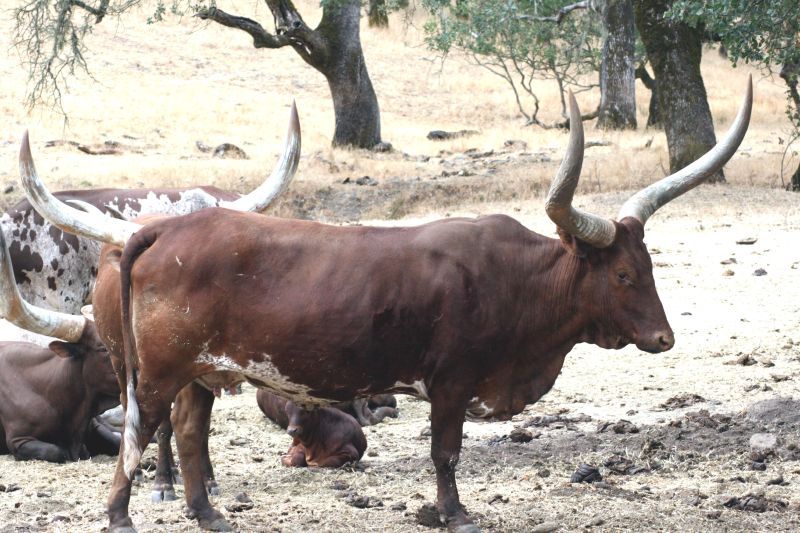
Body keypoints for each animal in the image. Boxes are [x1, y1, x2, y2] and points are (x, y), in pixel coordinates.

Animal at [20, 79, 756, 532]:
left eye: (649, 266)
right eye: (626, 273)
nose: (663, 339)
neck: (515, 280)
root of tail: (159, 229)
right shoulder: (452, 382)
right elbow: (446, 453)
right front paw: (454, 514)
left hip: (203, 372)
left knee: (191, 433)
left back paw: (210, 515)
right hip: (157, 371)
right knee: (142, 432)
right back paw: (121, 516)